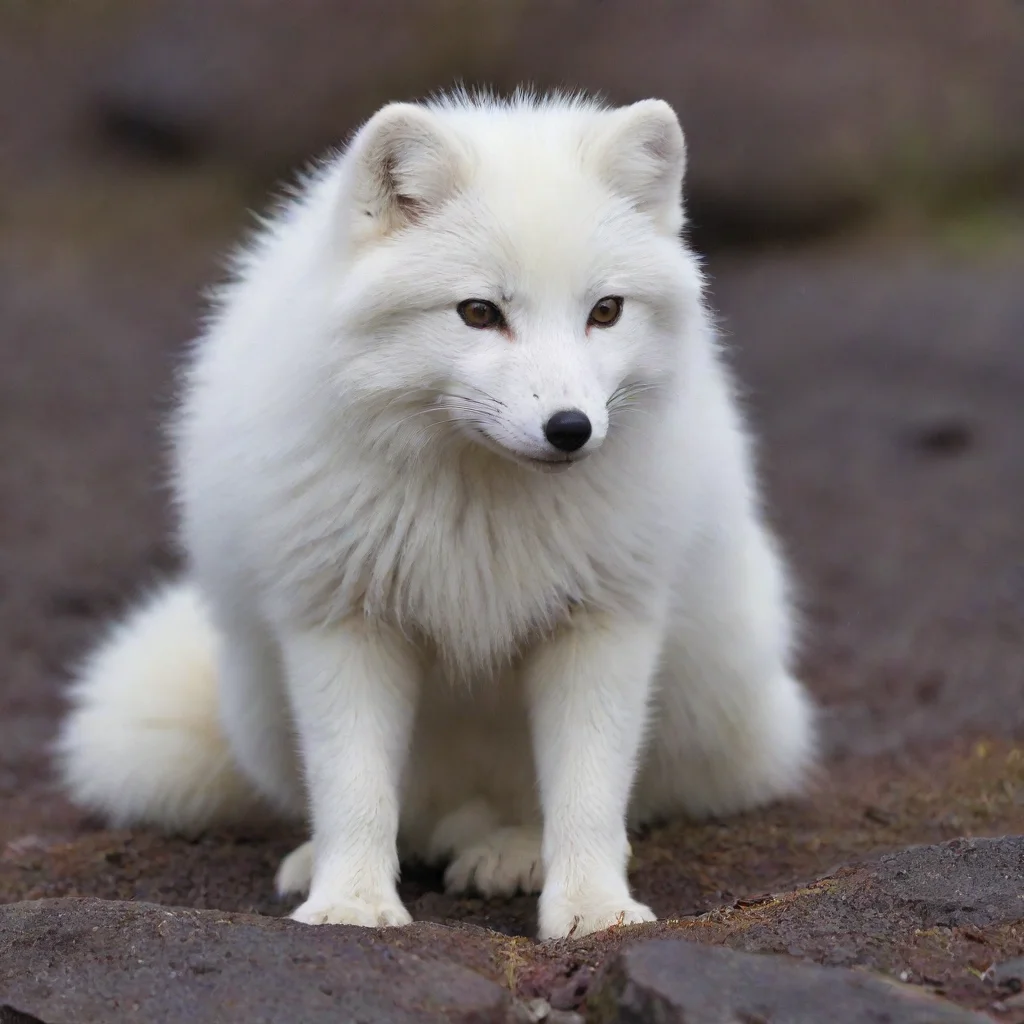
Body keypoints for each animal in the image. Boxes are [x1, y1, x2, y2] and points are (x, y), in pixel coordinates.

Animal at [61, 92, 815, 937]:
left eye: (606, 310)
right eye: (479, 312)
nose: (570, 429)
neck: (478, 502)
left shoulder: (604, 621)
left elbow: (588, 795)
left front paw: (593, 908)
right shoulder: (342, 619)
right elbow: (353, 787)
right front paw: (352, 904)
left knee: (584, 804)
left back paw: (512, 851)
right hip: (260, 701)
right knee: (400, 815)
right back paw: (326, 860)